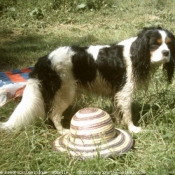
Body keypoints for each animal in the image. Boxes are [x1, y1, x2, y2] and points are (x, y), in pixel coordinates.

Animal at [0, 26, 175, 134]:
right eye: (155, 44)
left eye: (169, 44)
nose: (167, 53)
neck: (136, 52)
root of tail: (45, 59)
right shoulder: (125, 92)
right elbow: (127, 112)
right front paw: (133, 128)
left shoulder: (116, 92)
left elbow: (117, 110)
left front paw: (118, 123)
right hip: (66, 91)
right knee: (54, 114)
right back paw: (62, 131)